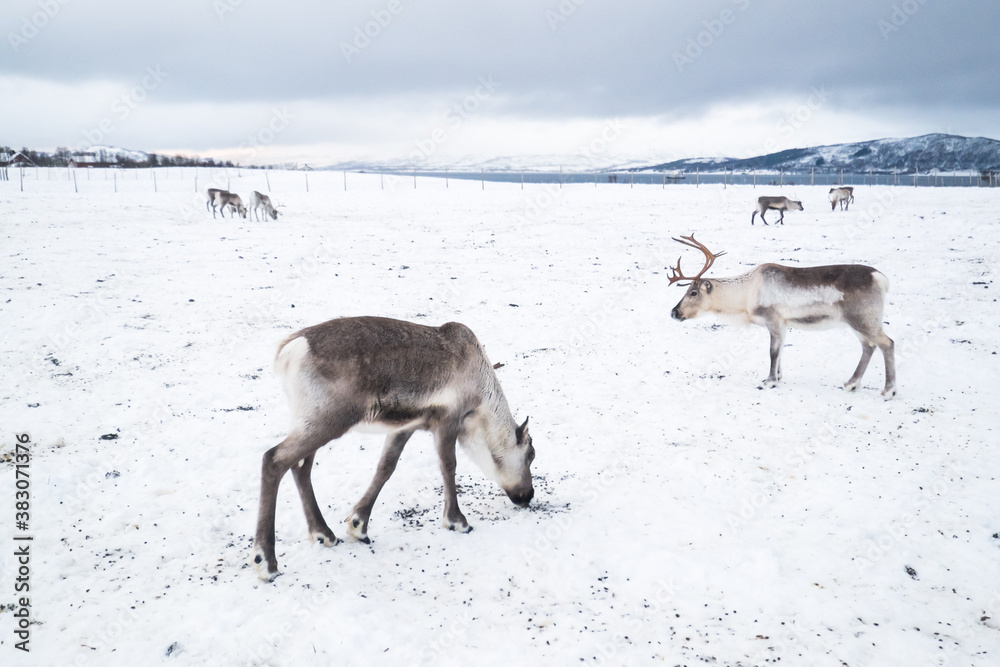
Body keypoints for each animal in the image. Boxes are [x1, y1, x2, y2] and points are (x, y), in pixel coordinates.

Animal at [253, 316, 535, 581]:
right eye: (531, 455)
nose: (528, 495)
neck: (480, 406)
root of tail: (289, 350)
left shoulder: (406, 426)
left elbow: (385, 467)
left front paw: (358, 524)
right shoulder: (448, 420)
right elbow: (448, 466)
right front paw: (457, 521)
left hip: (308, 420)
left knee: (301, 467)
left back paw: (324, 534)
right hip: (328, 419)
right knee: (274, 459)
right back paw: (266, 561)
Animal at [667, 235, 896, 398]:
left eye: (693, 293)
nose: (674, 312)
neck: (746, 296)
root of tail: (882, 279)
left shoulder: (774, 320)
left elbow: (773, 352)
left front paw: (769, 381)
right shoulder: (784, 324)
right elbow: (782, 351)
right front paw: (778, 376)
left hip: (864, 318)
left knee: (887, 343)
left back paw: (888, 390)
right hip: (858, 322)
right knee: (869, 346)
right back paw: (851, 384)